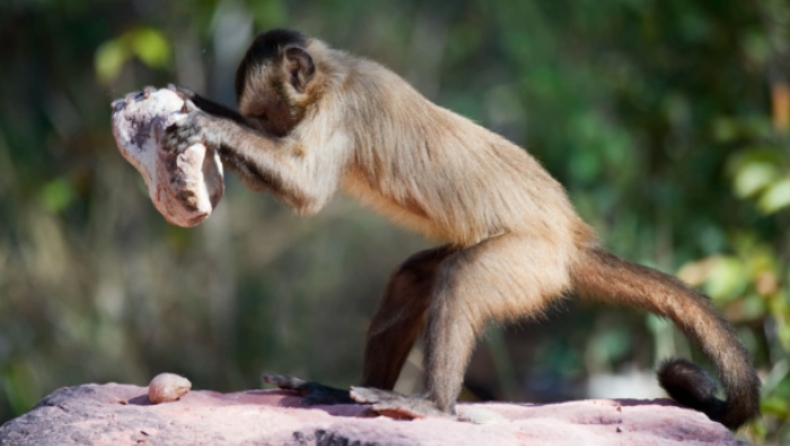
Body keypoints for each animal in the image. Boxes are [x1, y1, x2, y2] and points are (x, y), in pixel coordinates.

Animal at [161, 27, 760, 428]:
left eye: (263, 118)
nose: (252, 124)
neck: (337, 73)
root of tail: (571, 238)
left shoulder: (343, 108)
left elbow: (306, 189)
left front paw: (213, 126)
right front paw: (195, 106)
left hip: (531, 260)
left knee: (464, 277)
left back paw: (434, 406)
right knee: (414, 276)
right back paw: (341, 393)